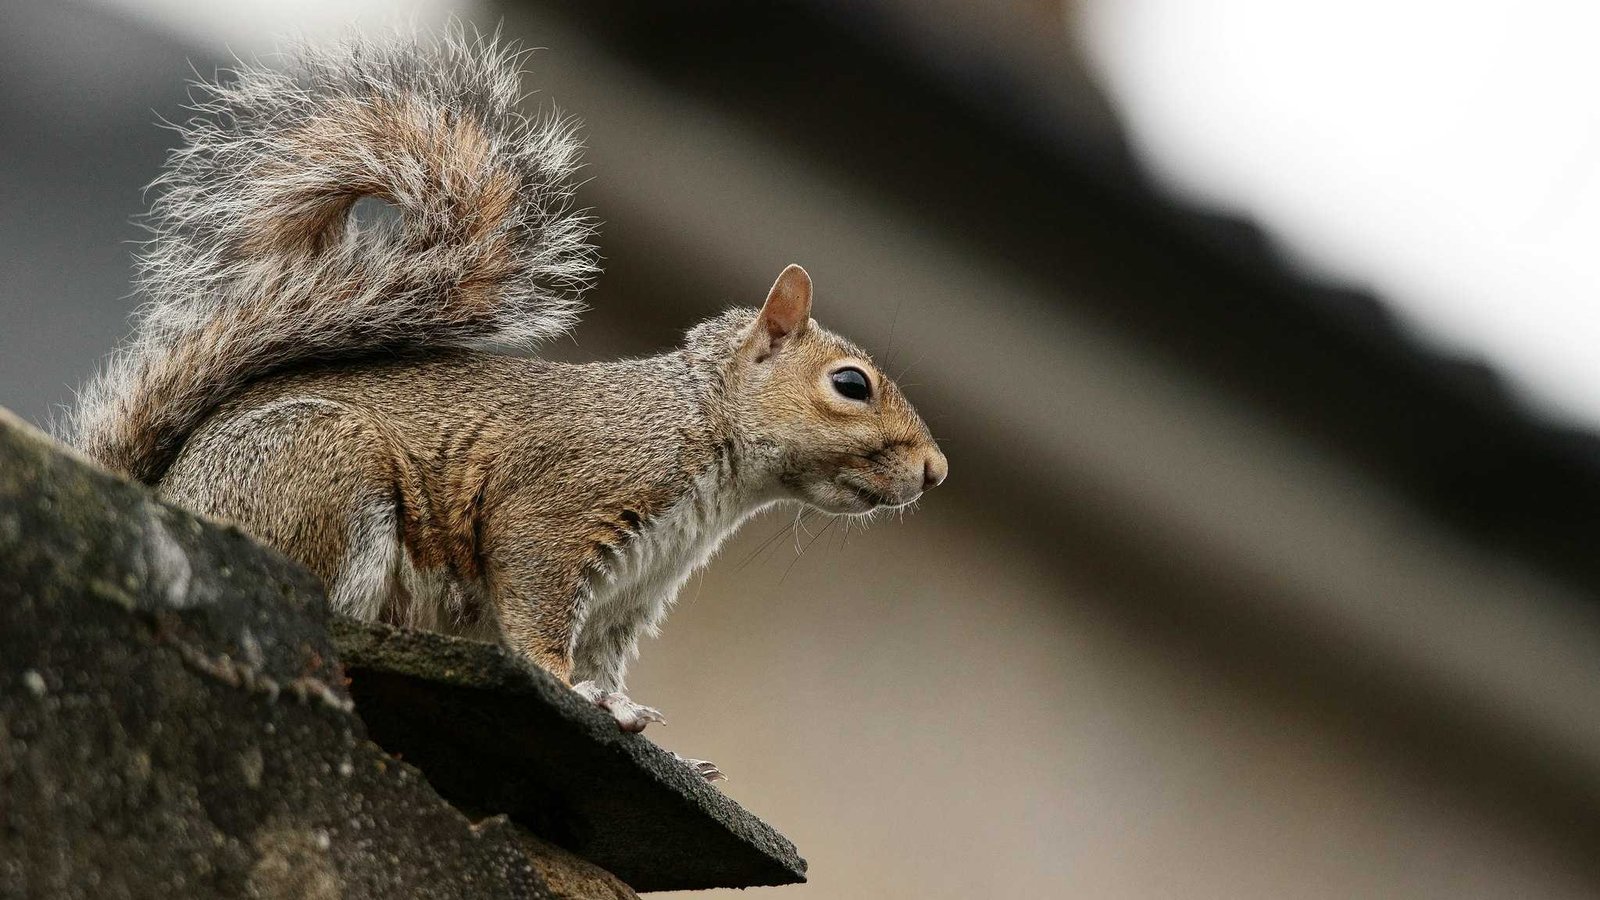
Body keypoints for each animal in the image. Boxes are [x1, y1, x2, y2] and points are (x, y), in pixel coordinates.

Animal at [62, 33, 940, 778]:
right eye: (851, 385)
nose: (935, 471)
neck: (701, 436)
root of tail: (171, 494)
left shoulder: (627, 599)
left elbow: (604, 662)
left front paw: (657, 740)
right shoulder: (562, 507)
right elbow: (536, 619)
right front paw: (576, 693)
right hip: (326, 466)